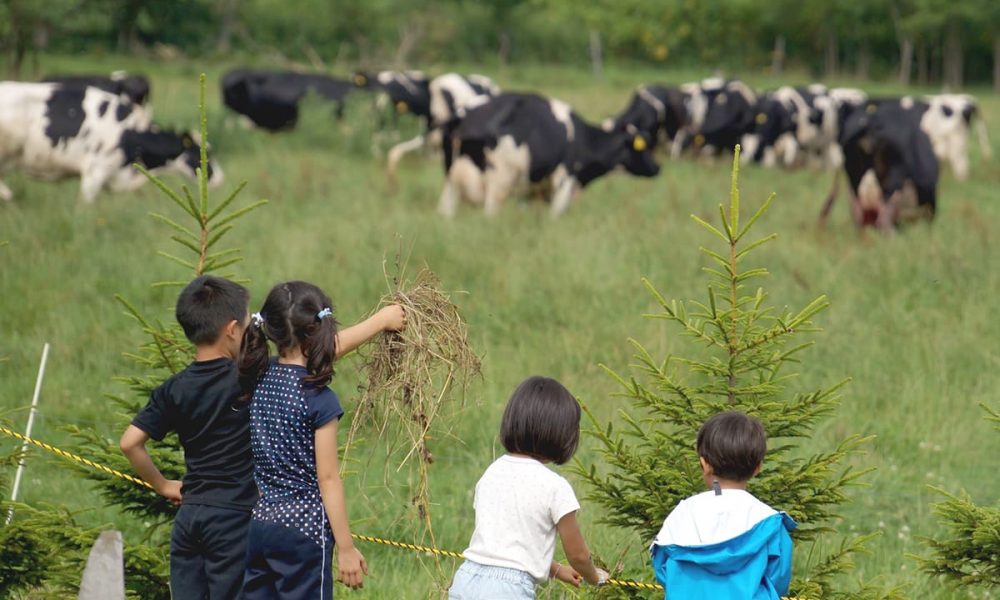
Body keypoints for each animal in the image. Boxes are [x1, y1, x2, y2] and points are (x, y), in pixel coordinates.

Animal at [440, 92, 660, 218]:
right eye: (642, 147)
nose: (657, 167)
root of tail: (464, 114)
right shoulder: (564, 179)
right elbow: (556, 214)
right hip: (499, 179)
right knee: (490, 213)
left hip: (451, 178)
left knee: (445, 211)